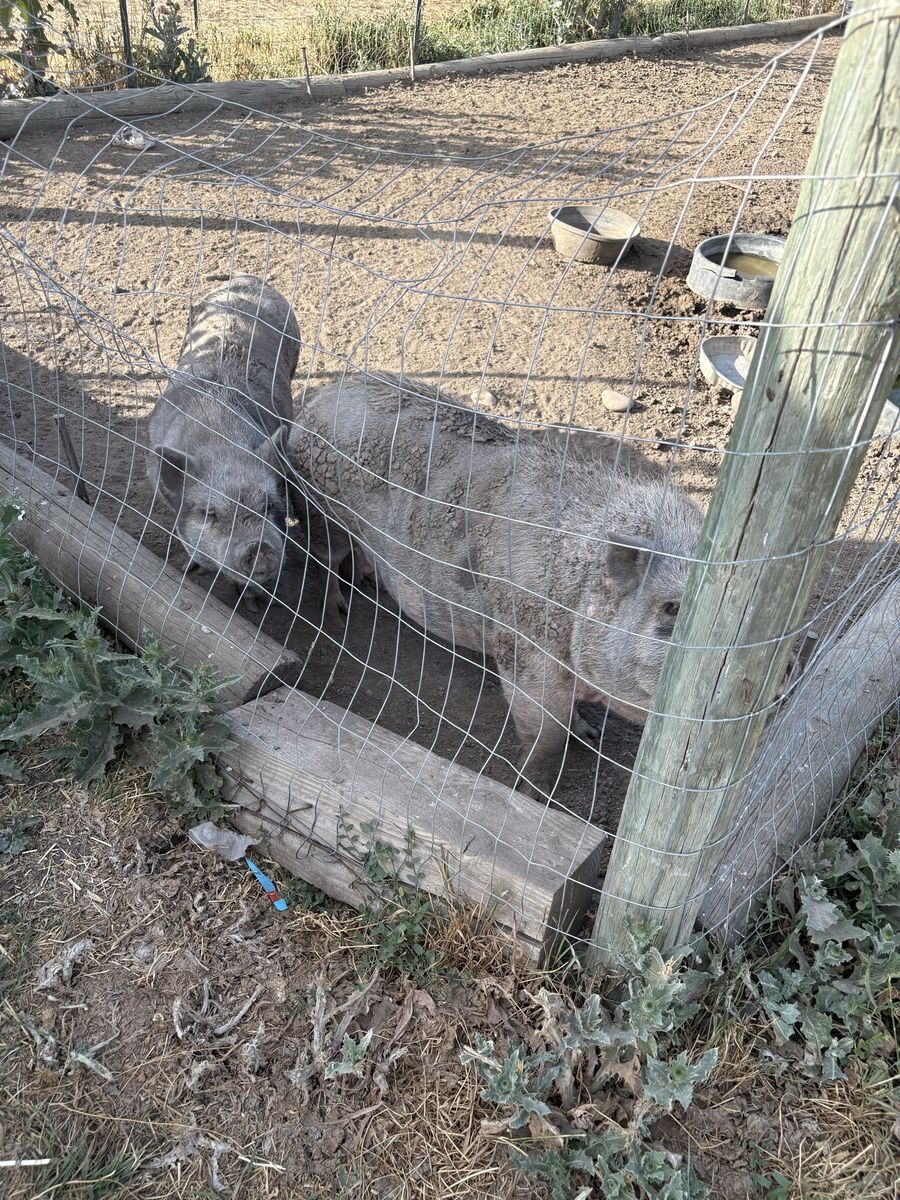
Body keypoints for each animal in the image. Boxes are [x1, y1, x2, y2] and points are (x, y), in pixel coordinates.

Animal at [146, 275, 300, 601]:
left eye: (269, 506)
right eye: (211, 513)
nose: (260, 550)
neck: (220, 440)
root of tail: (249, 278)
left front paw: (254, 601)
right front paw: (189, 568)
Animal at [286, 372, 704, 796]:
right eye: (671, 607)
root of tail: (322, 395)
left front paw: (588, 734)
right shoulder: (527, 654)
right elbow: (545, 736)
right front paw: (535, 794)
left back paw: (368, 581)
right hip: (319, 503)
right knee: (325, 557)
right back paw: (337, 615)